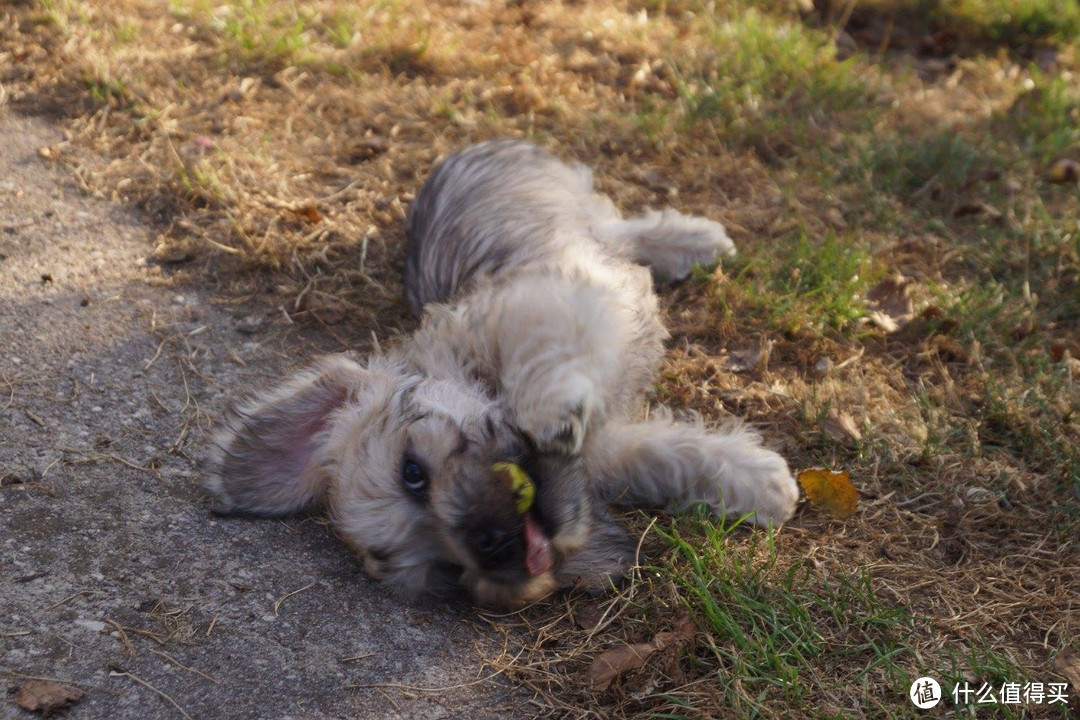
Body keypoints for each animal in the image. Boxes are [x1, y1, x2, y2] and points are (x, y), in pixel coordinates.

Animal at [208, 139, 803, 604]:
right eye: (447, 570)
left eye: (412, 471)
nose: (490, 546)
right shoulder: (607, 446)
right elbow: (664, 453)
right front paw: (758, 479)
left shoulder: (551, 302)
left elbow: (539, 362)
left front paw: (550, 411)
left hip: (569, 203)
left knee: (624, 228)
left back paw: (696, 240)